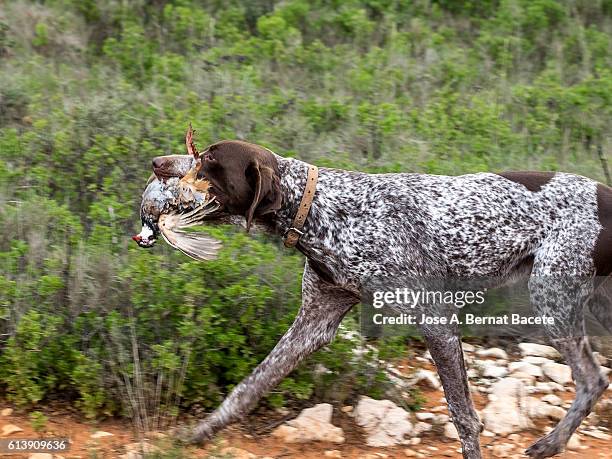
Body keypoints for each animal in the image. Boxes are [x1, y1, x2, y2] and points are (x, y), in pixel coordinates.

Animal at [149, 140, 612, 459]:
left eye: (209, 160)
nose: (157, 163)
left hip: (551, 298)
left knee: (593, 379)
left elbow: (463, 416)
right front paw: (198, 434)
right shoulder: (314, 323)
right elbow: (247, 388)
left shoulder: (436, 322)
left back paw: (550, 443)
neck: (319, 209)